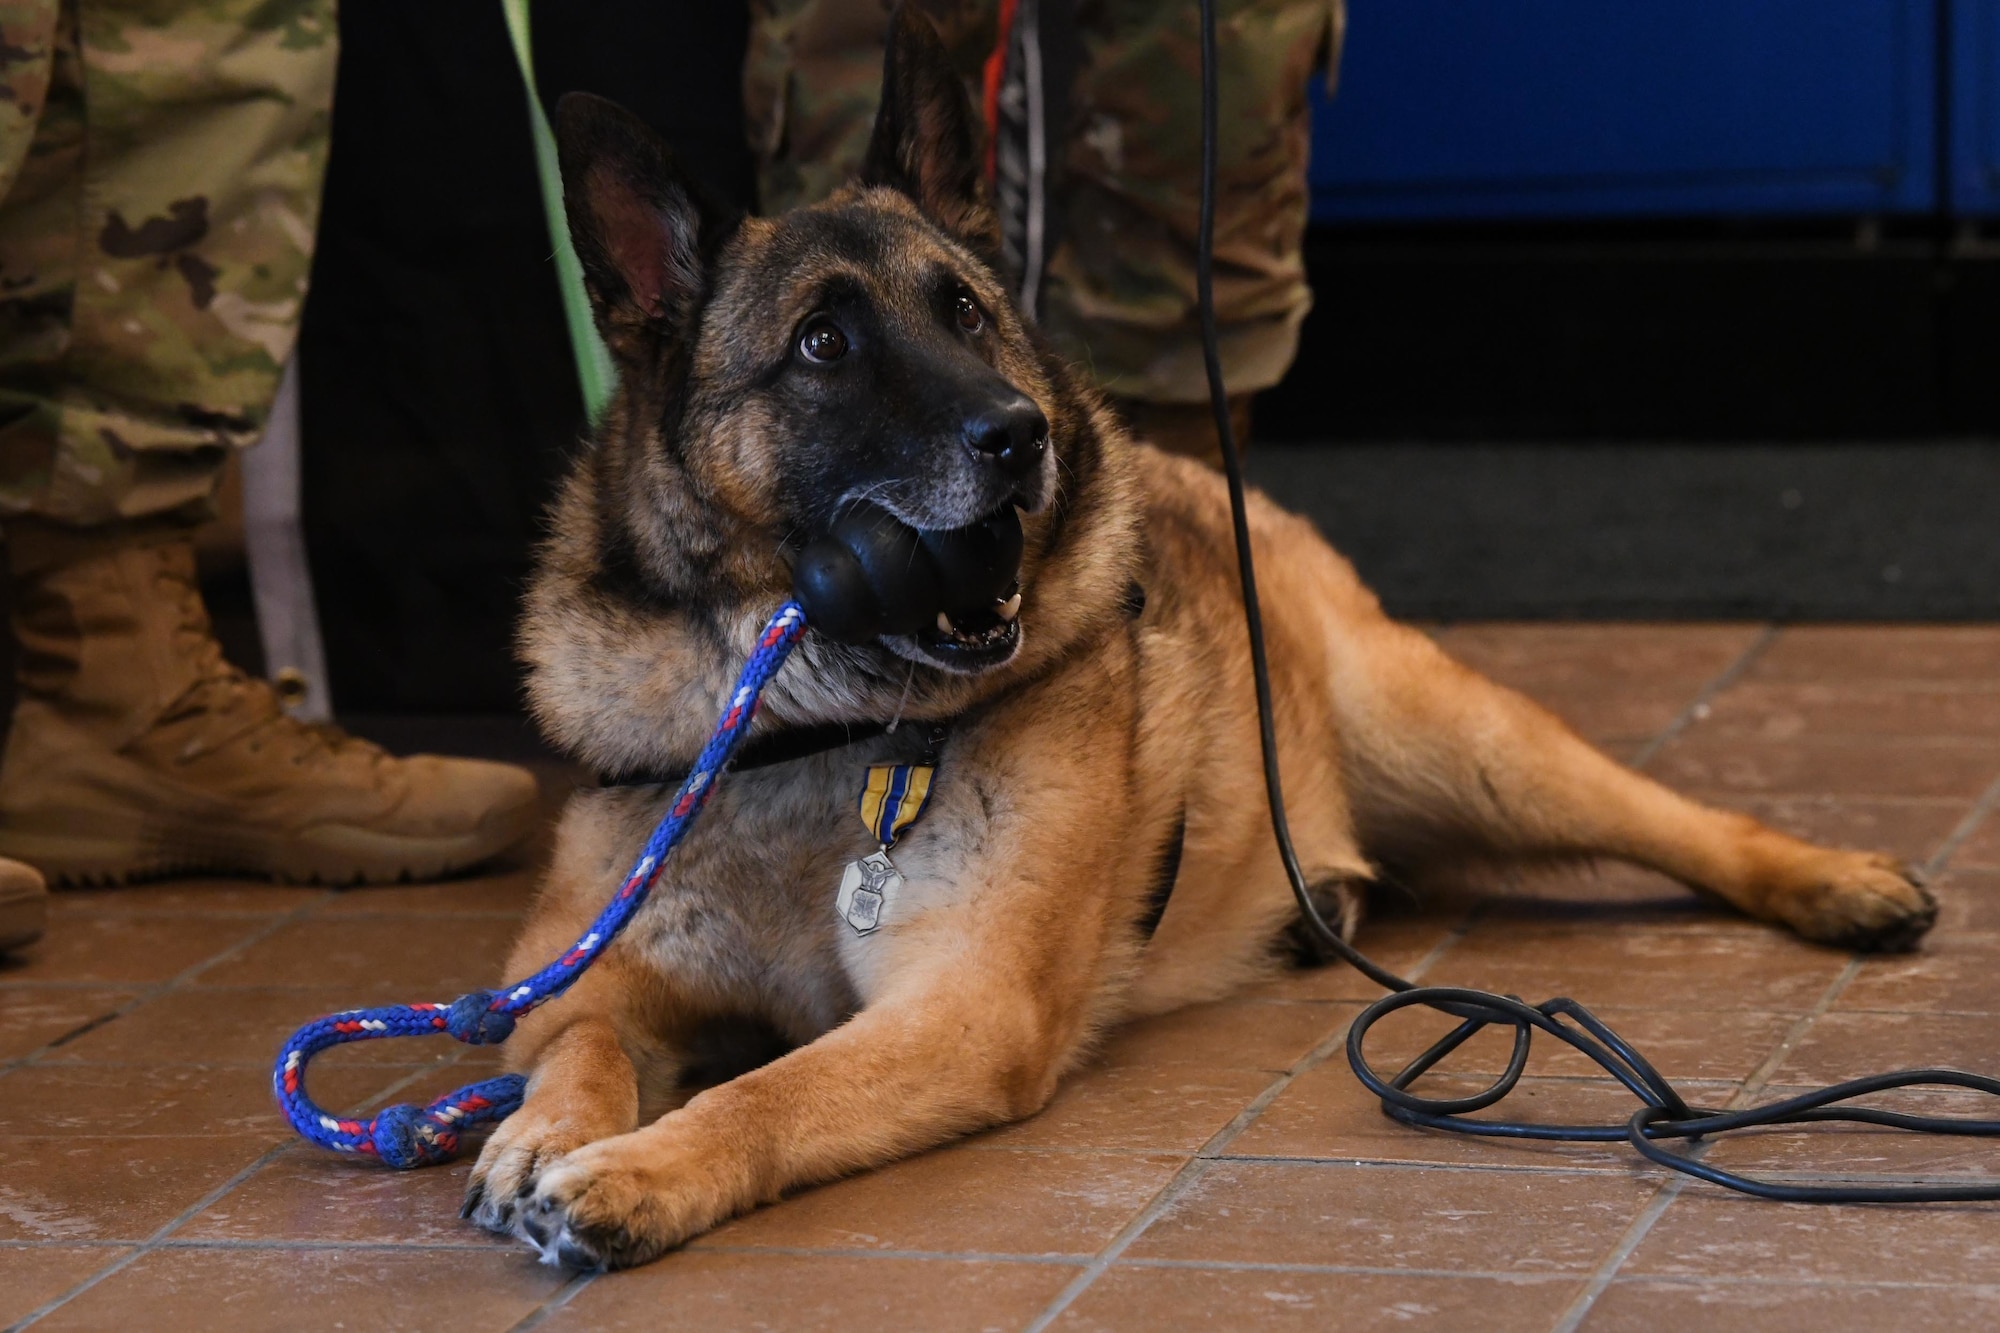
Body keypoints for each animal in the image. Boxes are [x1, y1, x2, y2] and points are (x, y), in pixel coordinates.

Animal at [464, 10, 1936, 1264]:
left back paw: (1833, 881)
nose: (1023, 437)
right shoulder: (582, 977)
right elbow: (581, 1042)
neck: (807, 713)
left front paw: (638, 1171)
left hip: (1467, 747)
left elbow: (764, 1092)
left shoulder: (960, 1007)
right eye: (823, 343)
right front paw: (544, 1131)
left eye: (964, 309)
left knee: (1672, 817)